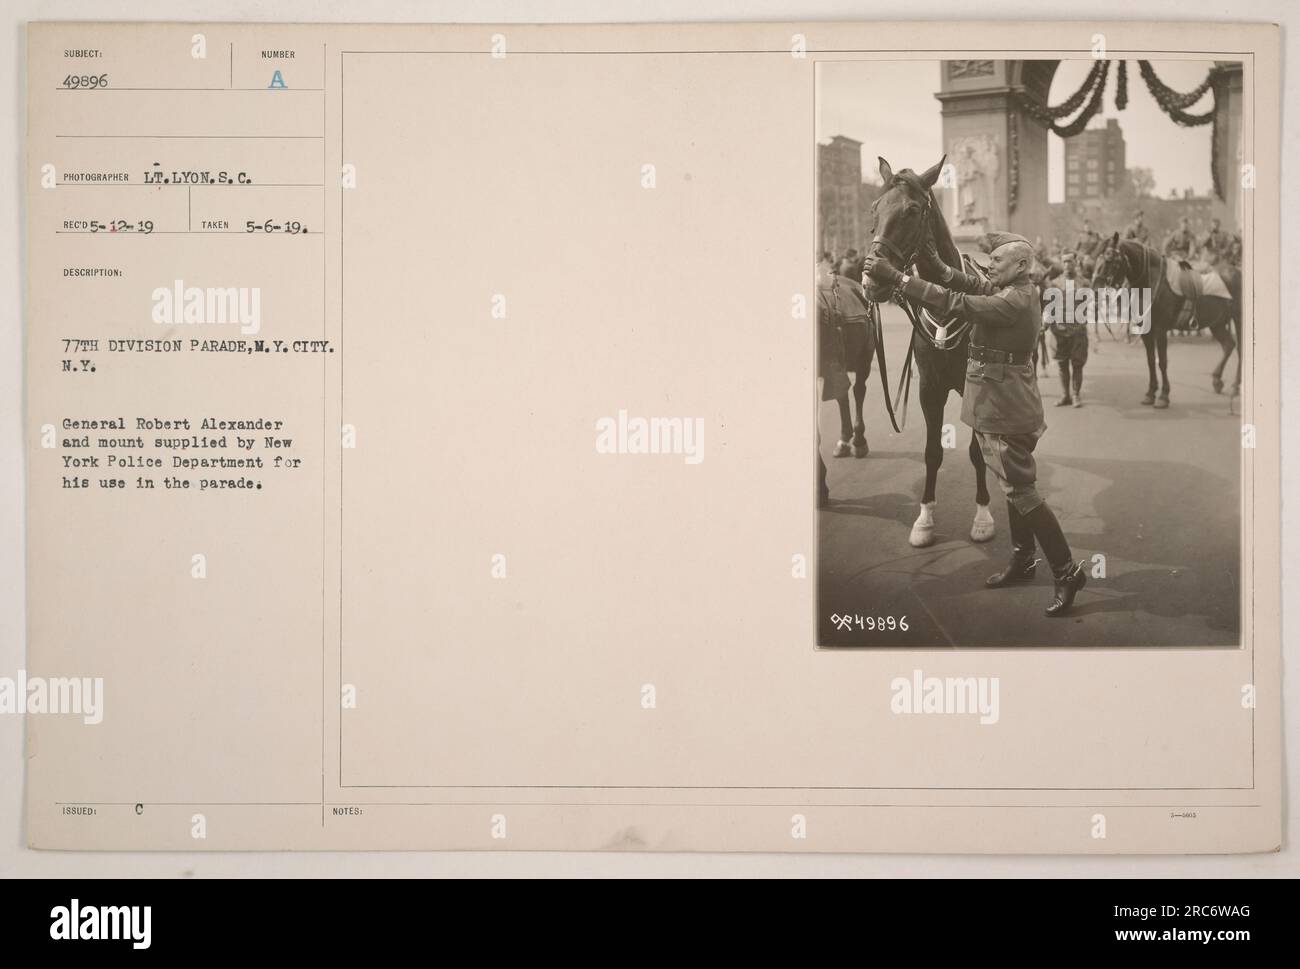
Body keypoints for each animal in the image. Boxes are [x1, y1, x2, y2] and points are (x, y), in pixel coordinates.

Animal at [868, 159, 987, 551]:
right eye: (875, 208)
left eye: (912, 210)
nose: (871, 276)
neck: (948, 302)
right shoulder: (929, 390)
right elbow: (932, 452)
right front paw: (924, 520)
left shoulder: (975, 388)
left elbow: (978, 452)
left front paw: (983, 516)